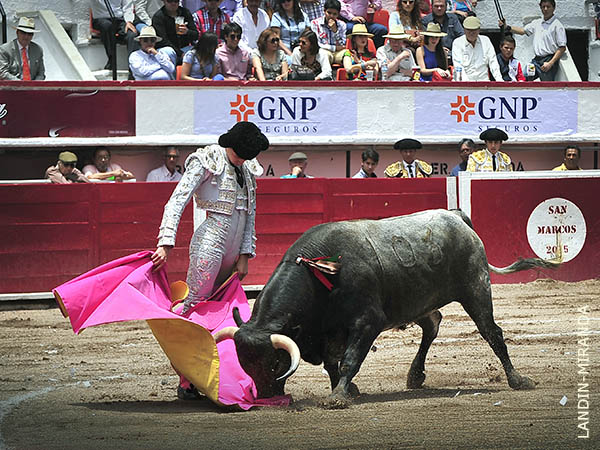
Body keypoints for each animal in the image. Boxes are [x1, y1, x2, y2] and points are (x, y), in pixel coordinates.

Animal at [216, 209, 560, 408]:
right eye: (245, 364)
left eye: (275, 364)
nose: (265, 396)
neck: (320, 274)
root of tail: (457, 217)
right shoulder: (329, 331)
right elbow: (332, 364)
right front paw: (346, 390)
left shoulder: (367, 322)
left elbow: (348, 360)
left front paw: (338, 396)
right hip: (420, 300)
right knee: (433, 324)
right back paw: (415, 376)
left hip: (476, 288)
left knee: (492, 333)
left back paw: (518, 380)